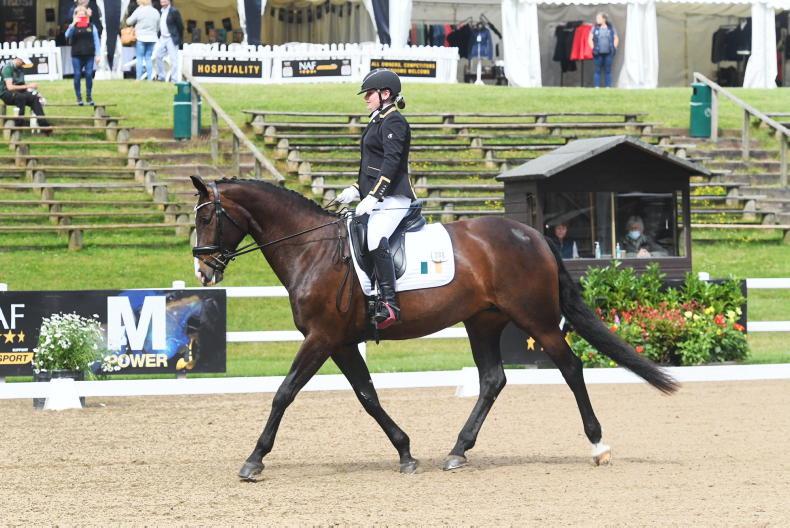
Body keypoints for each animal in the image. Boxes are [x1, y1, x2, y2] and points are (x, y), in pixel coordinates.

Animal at [190, 175, 678, 481]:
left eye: (207, 217)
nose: (203, 272)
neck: (312, 249)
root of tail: (533, 234)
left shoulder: (321, 338)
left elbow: (284, 392)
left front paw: (254, 460)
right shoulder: (341, 343)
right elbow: (367, 397)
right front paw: (405, 452)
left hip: (536, 318)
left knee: (571, 368)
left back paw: (598, 446)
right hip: (482, 322)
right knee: (492, 380)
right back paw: (458, 451)